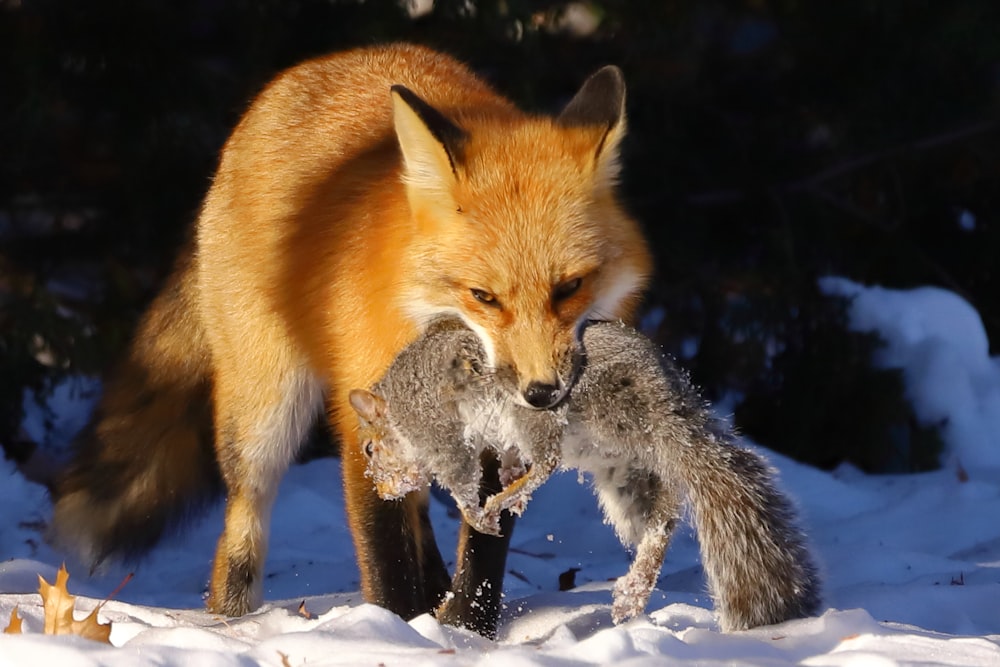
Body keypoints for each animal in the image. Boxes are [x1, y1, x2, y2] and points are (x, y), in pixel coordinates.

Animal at [50, 41, 652, 636]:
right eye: (483, 296)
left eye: (569, 287)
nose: (541, 393)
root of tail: (326, 63)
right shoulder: (363, 414)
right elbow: (385, 556)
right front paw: (396, 628)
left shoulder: (498, 440)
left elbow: (485, 545)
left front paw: (465, 628)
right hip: (265, 413)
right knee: (242, 526)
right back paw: (232, 618)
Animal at [350, 318, 820, 632]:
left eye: (371, 448)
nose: (383, 490)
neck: (400, 402)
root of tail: (668, 399)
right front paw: (505, 474)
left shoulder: (438, 431)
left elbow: (461, 477)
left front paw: (478, 510)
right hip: (622, 475)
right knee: (662, 516)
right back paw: (635, 585)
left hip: (557, 414)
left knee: (551, 461)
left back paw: (505, 499)